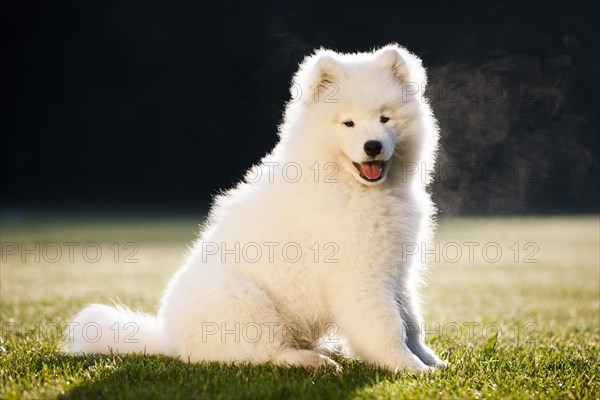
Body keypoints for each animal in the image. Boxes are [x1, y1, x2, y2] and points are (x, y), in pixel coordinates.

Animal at [65, 43, 446, 372]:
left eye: (384, 119)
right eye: (348, 123)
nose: (372, 146)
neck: (355, 187)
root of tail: (168, 341)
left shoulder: (399, 271)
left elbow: (411, 322)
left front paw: (432, 361)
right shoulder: (361, 276)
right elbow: (387, 328)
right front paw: (410, 369)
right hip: (251, 307)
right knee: (266, 355)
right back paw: (314, 361)